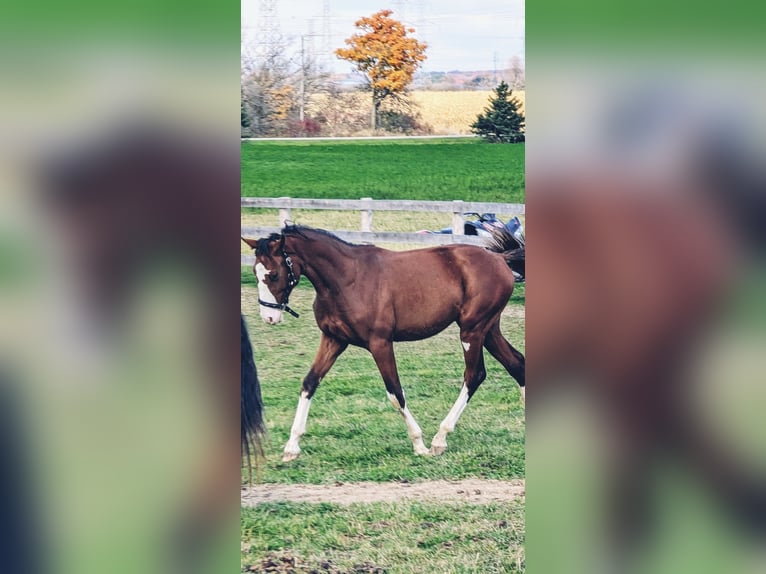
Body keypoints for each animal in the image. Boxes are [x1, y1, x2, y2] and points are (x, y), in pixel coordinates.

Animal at [243, 226, 524, 464]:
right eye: (255, 272)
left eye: (273, 274)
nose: (269, 317)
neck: (347, 279)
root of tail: (499, 259)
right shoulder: (333, 339)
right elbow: (309, 383)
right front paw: (291, 447)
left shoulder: (380, 343)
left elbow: (395, 392)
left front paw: (419, 444)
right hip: (488, 330)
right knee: (517, 363)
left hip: (472, 330)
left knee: (474, 375)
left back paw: (439, 439)